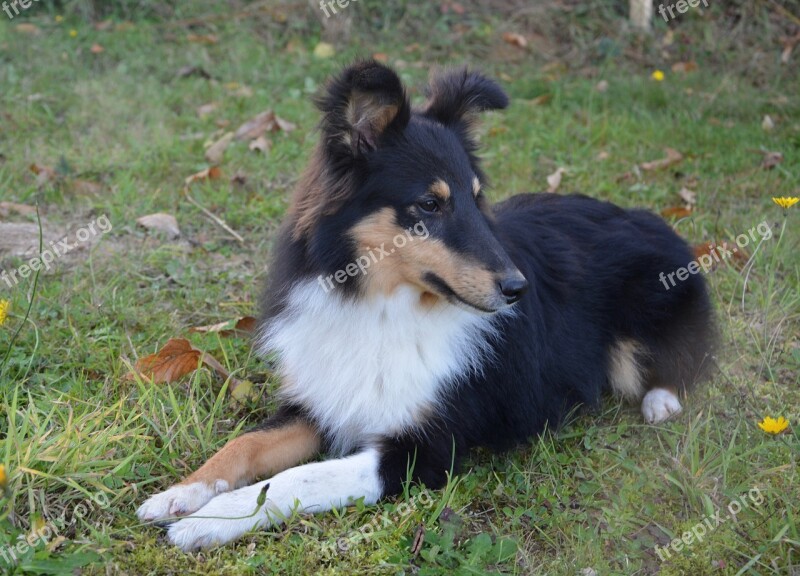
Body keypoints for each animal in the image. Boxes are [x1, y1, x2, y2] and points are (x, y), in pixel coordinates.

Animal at [134, 60, 716, 552]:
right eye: (430, 204)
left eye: (477, 198)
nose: (517, 289)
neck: (383, 307)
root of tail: (650, 217)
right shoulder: (322, 403)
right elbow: (245, 445)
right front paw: (179, 495)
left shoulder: (423, 449)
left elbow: (295, 477)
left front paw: (210, 521)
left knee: (686, 361)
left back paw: (660, 402)